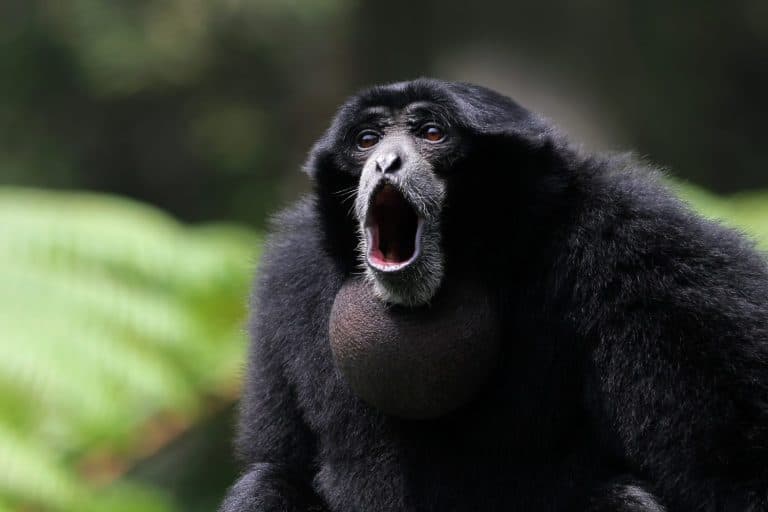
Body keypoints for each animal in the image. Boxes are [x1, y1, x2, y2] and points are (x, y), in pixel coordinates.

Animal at [220, 79, 768, 511]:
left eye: (431, 133)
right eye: (367, 140)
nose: (384, 162)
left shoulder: (643, 247)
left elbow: (736, 468)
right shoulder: (291, 274)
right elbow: (278, 462)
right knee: (266, 484)